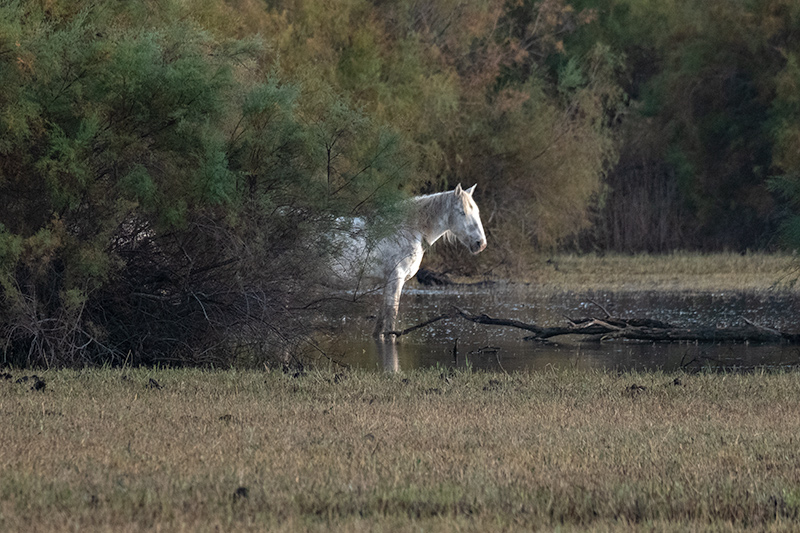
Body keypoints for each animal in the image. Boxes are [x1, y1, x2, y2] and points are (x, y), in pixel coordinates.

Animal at [330, 183, 488, 340]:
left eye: (477, 212)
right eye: (462, 212)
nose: (481, 243)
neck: (407, 231)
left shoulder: (388, 284)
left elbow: (379, 327)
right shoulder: (396, 280)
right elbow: (390, 322)